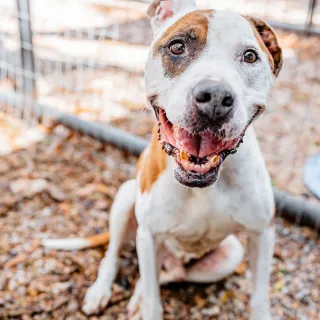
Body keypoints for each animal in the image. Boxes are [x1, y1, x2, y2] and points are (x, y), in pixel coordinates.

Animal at [43, 1, 282, 318]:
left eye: (250, 56)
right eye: (177, 47)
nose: (215, 97)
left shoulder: (262, 234)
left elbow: (259, 298)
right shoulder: (149, 235)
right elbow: (153, 301)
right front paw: (141, 302)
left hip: (229, 255)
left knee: (165, 276)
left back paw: (138, 296)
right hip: (126, 198)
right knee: (116, 257)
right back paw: (101, 291)